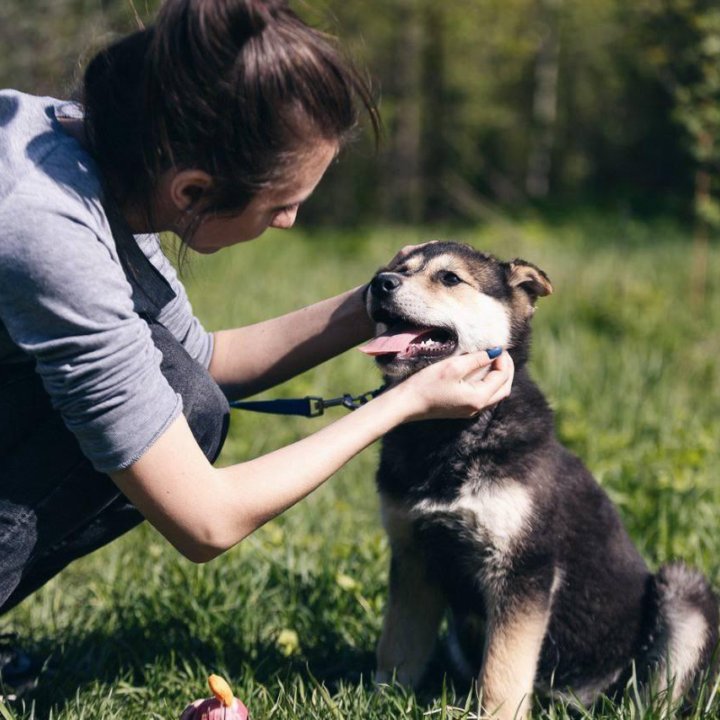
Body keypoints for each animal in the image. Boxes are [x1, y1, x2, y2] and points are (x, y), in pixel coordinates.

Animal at [362, 243, 716, 720]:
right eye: (397, 268)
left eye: (450, 278)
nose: (379, 283)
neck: (446, 434)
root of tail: (577, 700)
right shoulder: (414, 556)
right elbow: (398, 646)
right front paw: (383, 700)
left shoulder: (523, 569)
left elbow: (503, 669)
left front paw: (495, 714)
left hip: (684, 594)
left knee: (652, 693)